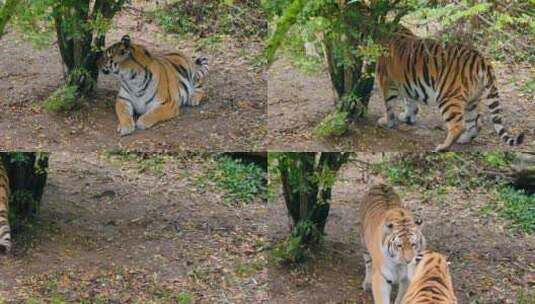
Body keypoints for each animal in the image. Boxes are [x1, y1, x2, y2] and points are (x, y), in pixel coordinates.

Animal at [374, 26, 524, 151]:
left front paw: (387, 122)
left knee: (458, 125)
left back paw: (442, 147)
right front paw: (407, 117)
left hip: (448, 97)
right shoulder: (406, 83)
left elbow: (389, 105)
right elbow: (410, 101)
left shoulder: (387, 81)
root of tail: (481, 61)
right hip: (472, 100)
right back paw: (463, 139)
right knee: (476, 123)